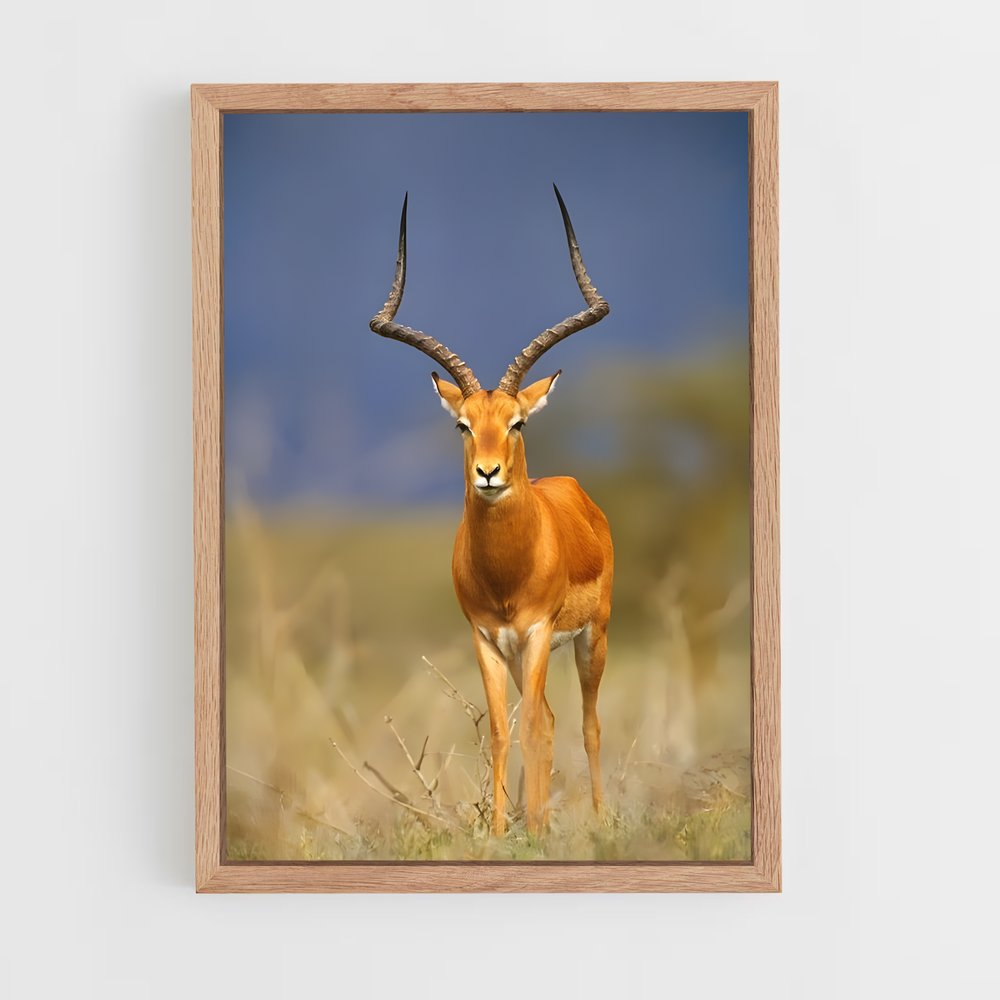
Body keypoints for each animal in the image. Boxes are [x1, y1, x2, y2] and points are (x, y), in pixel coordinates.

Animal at [368, 186, 613, 836]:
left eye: (517, 422)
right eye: (462, 424)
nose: (488, 473)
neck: (507, 571)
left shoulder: (535, 632)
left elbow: (535, 731)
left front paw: (533, 831)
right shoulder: (485, 637)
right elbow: (505, 731)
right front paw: (505, 832)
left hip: (591, 638)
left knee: (585, 723)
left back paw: (597, 822)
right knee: (545, 718)